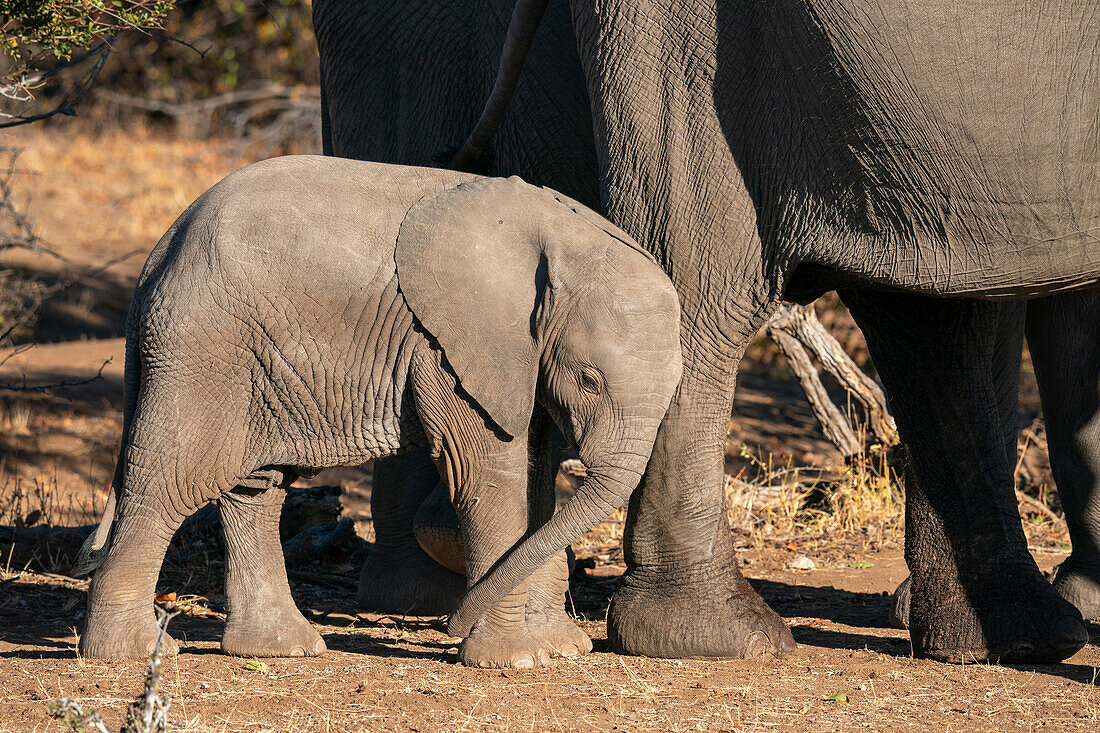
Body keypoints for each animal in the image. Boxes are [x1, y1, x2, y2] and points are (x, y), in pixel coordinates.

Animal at [75, 155, 677, 669]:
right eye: (590, 380)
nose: (450, 625)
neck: (565, 237)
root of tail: (160, 250)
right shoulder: (449, 342)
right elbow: (487, 474)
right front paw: (517, 659)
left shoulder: (521, 356)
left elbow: (536, 475)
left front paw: (561, 649)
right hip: (201, 347)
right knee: (170, 481)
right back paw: (128, 654)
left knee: (256, 487)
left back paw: (283, 649)